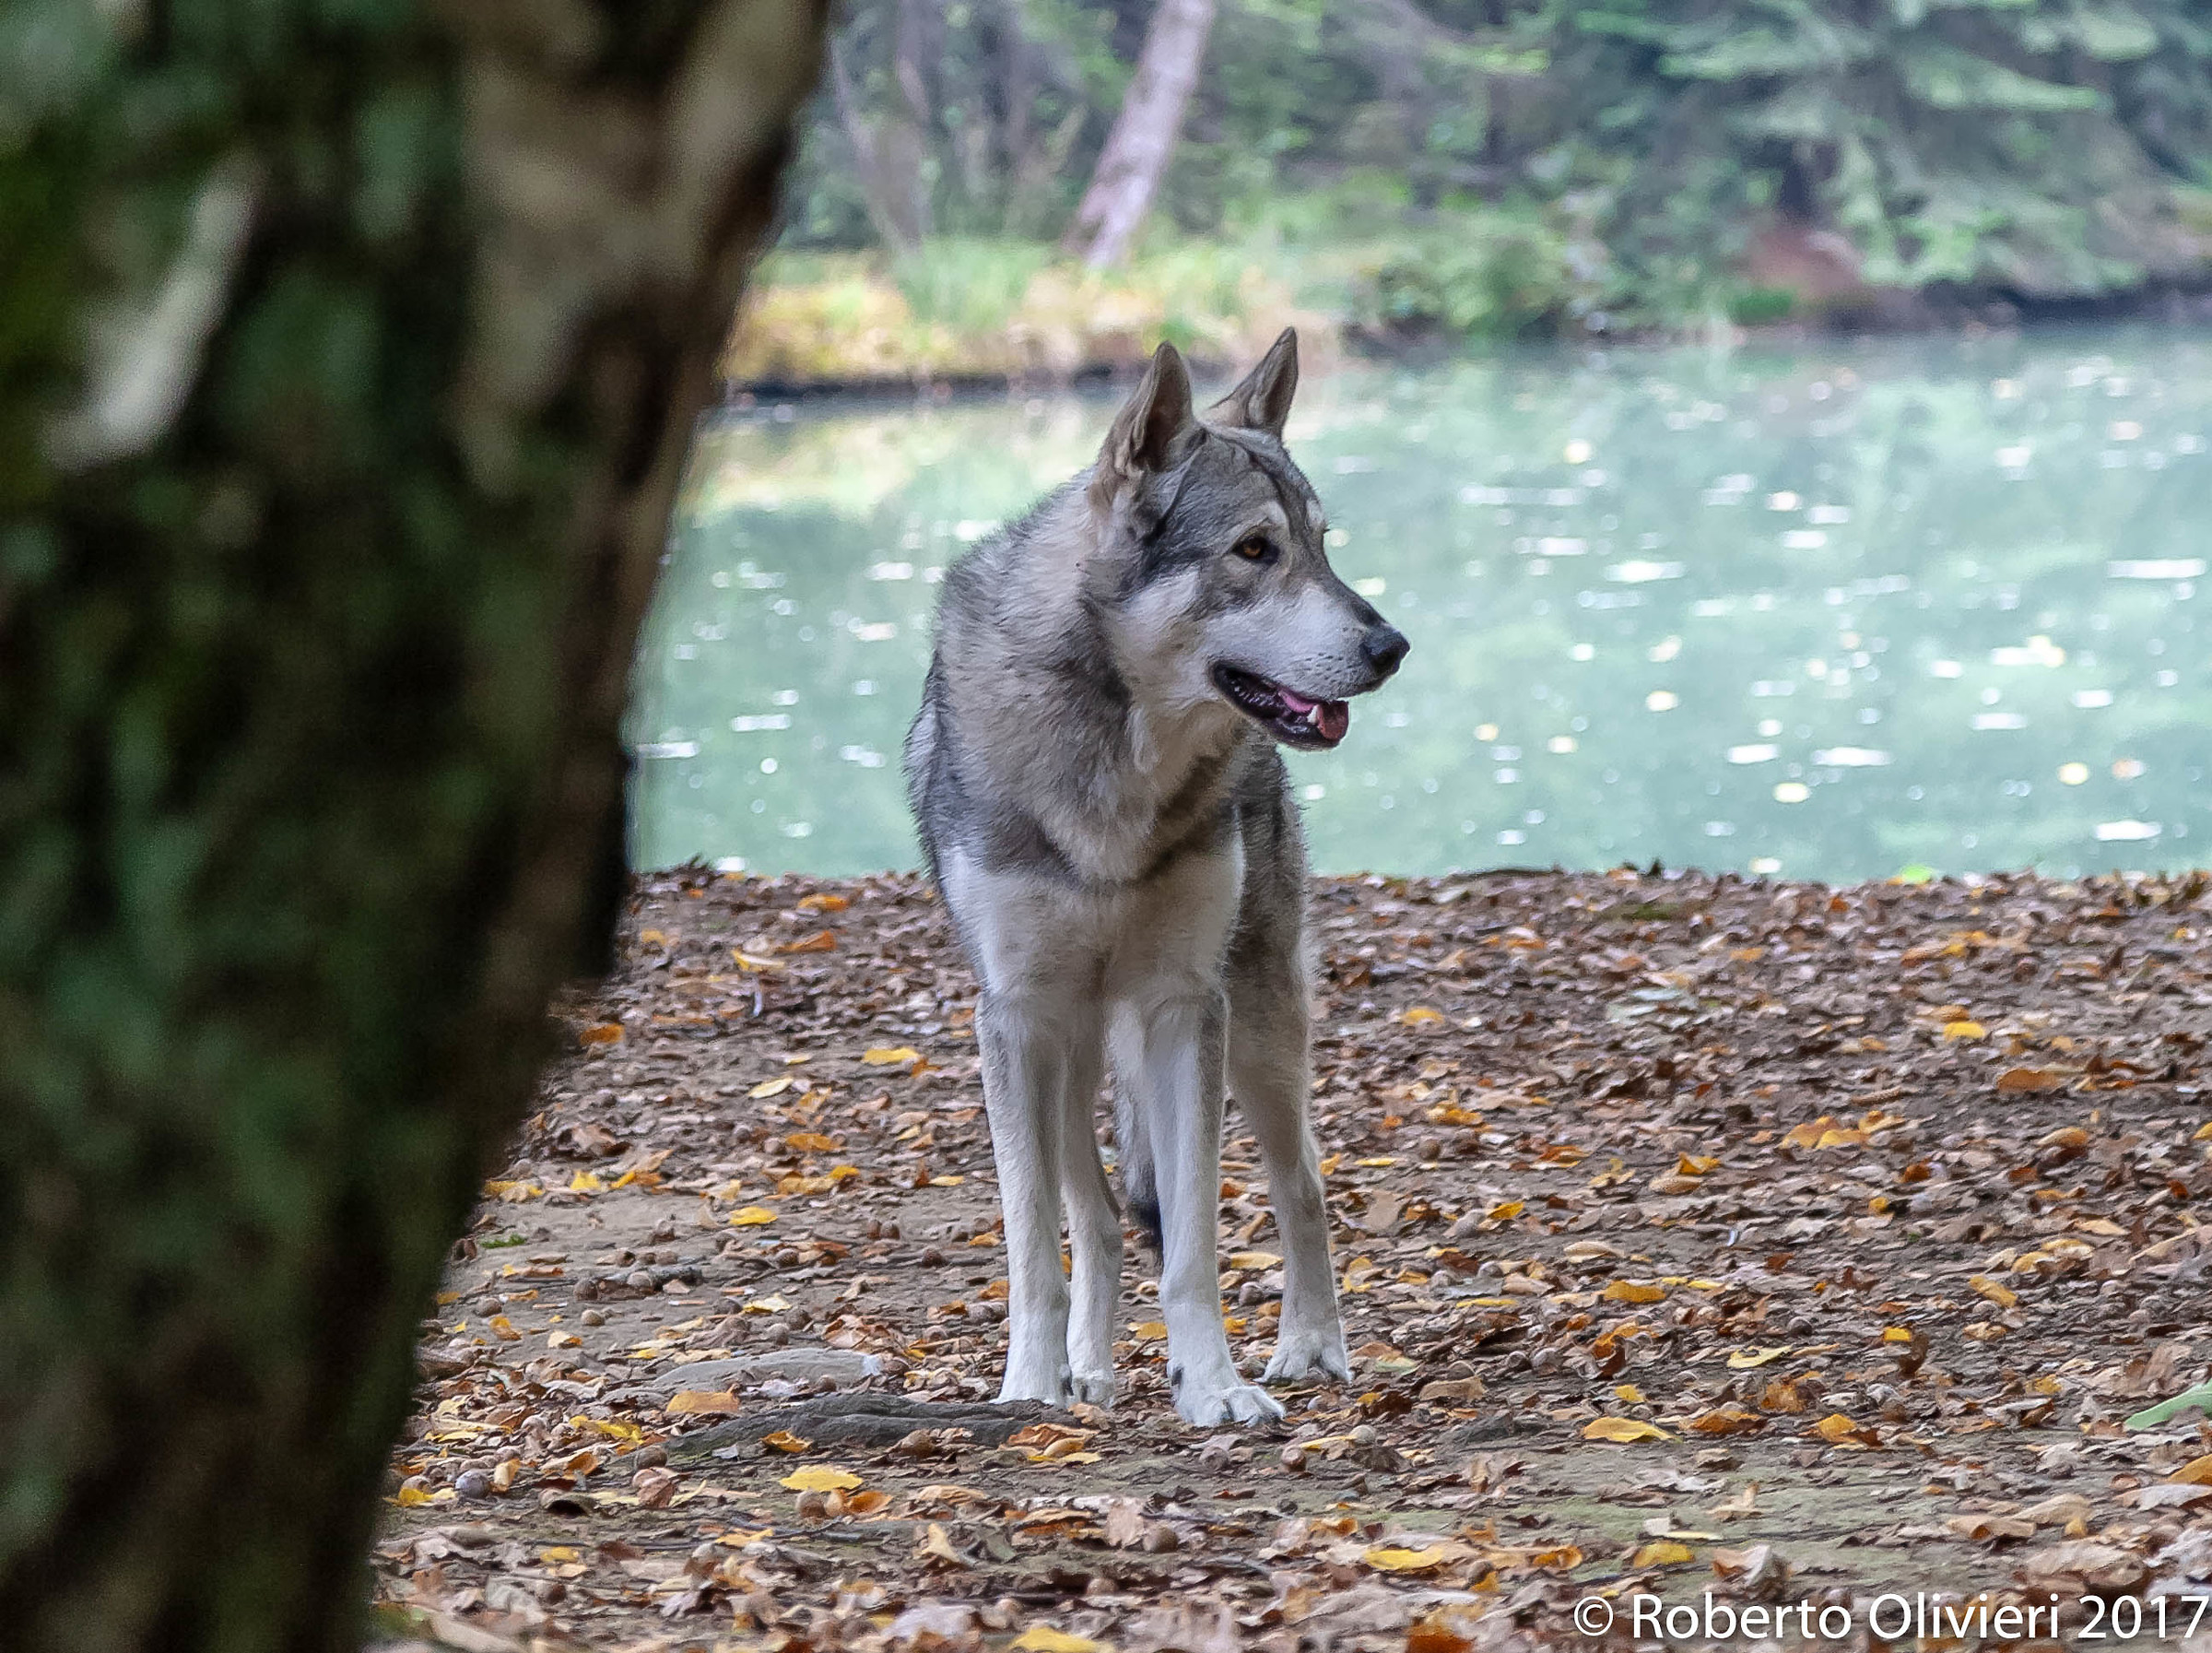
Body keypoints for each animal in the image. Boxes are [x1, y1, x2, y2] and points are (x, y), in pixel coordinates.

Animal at [904, 330, 1408, 1426]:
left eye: (1323, 544)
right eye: (1254, 550)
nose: (1391, 646)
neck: (1118, 771)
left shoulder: (1186, 1004)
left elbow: (1194, 1241)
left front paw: (1212, 1387)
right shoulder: (1015, 1017)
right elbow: (1033, 1242)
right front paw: (1027, 1385)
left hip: (1257, 1026)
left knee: (1302, 1183)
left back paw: (1311, 1346)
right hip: (1070, 1048)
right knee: (1092, 1217)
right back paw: (1085, 1373)